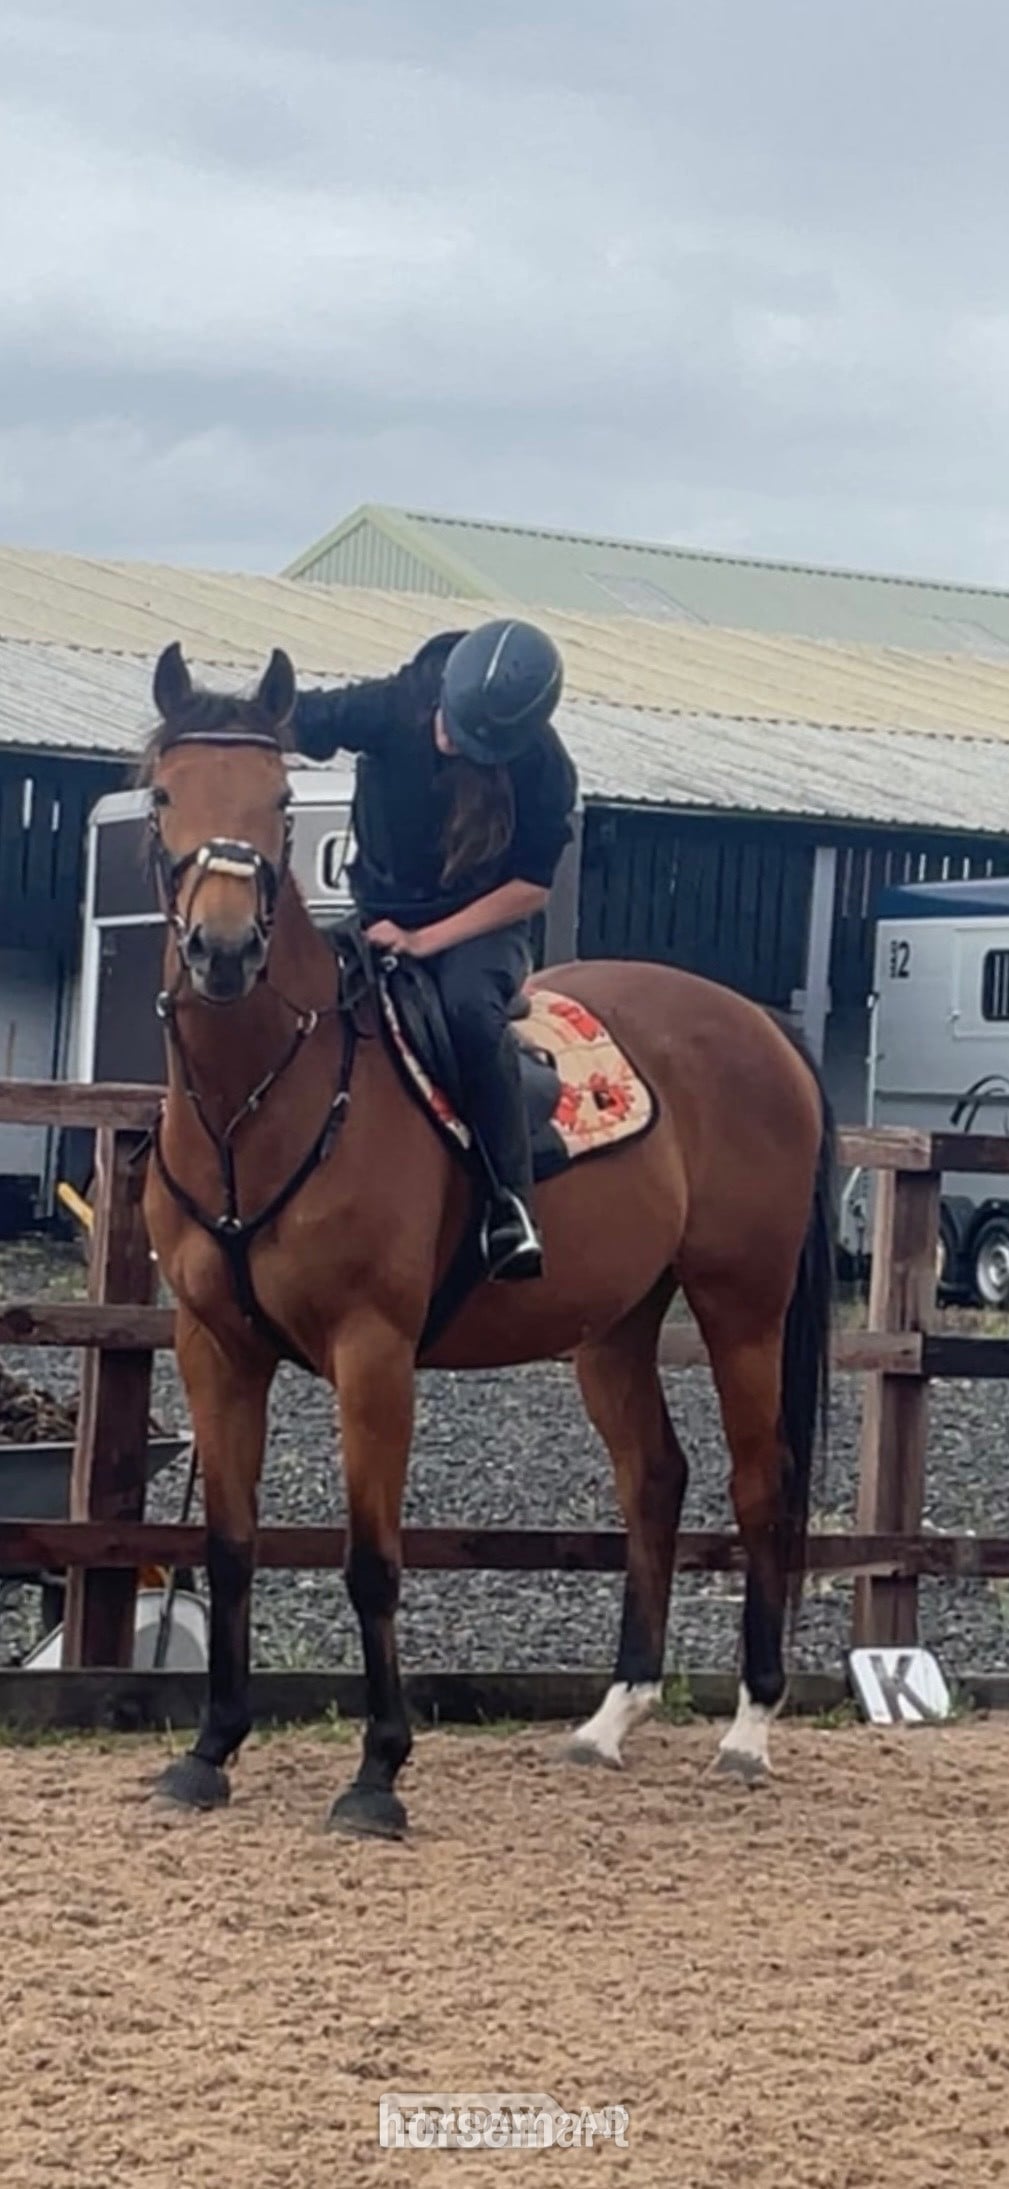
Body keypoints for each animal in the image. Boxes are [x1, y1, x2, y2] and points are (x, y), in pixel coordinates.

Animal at [139, 643, 835, 1839]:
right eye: (162, 795)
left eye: (277, 798)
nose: (222, 952)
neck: (256, 1103)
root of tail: (758, 1022)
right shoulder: (212, 1347)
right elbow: (226, 1549)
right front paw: (210, 1749)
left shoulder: (372, 1352)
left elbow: (372, 1563)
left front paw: (377, 1772)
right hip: (615, 1324)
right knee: (654, 1477)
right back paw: (611, 1717)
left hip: (742, 1306)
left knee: (758, 1483)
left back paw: (748, 1728)